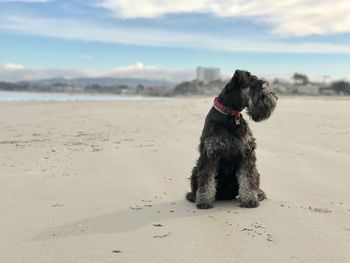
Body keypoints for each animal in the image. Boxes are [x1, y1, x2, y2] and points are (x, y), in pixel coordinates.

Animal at [185, 70, 278, 210]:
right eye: (257, 86)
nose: (275, 97)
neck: (230, 114)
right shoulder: (209, 154)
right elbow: (207, 179)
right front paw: (204, 201)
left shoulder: (247, 153)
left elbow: (247, 179)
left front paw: (249, 199)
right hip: (196, 168)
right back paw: (193, 196)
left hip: (255, 171)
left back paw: (259, 193)